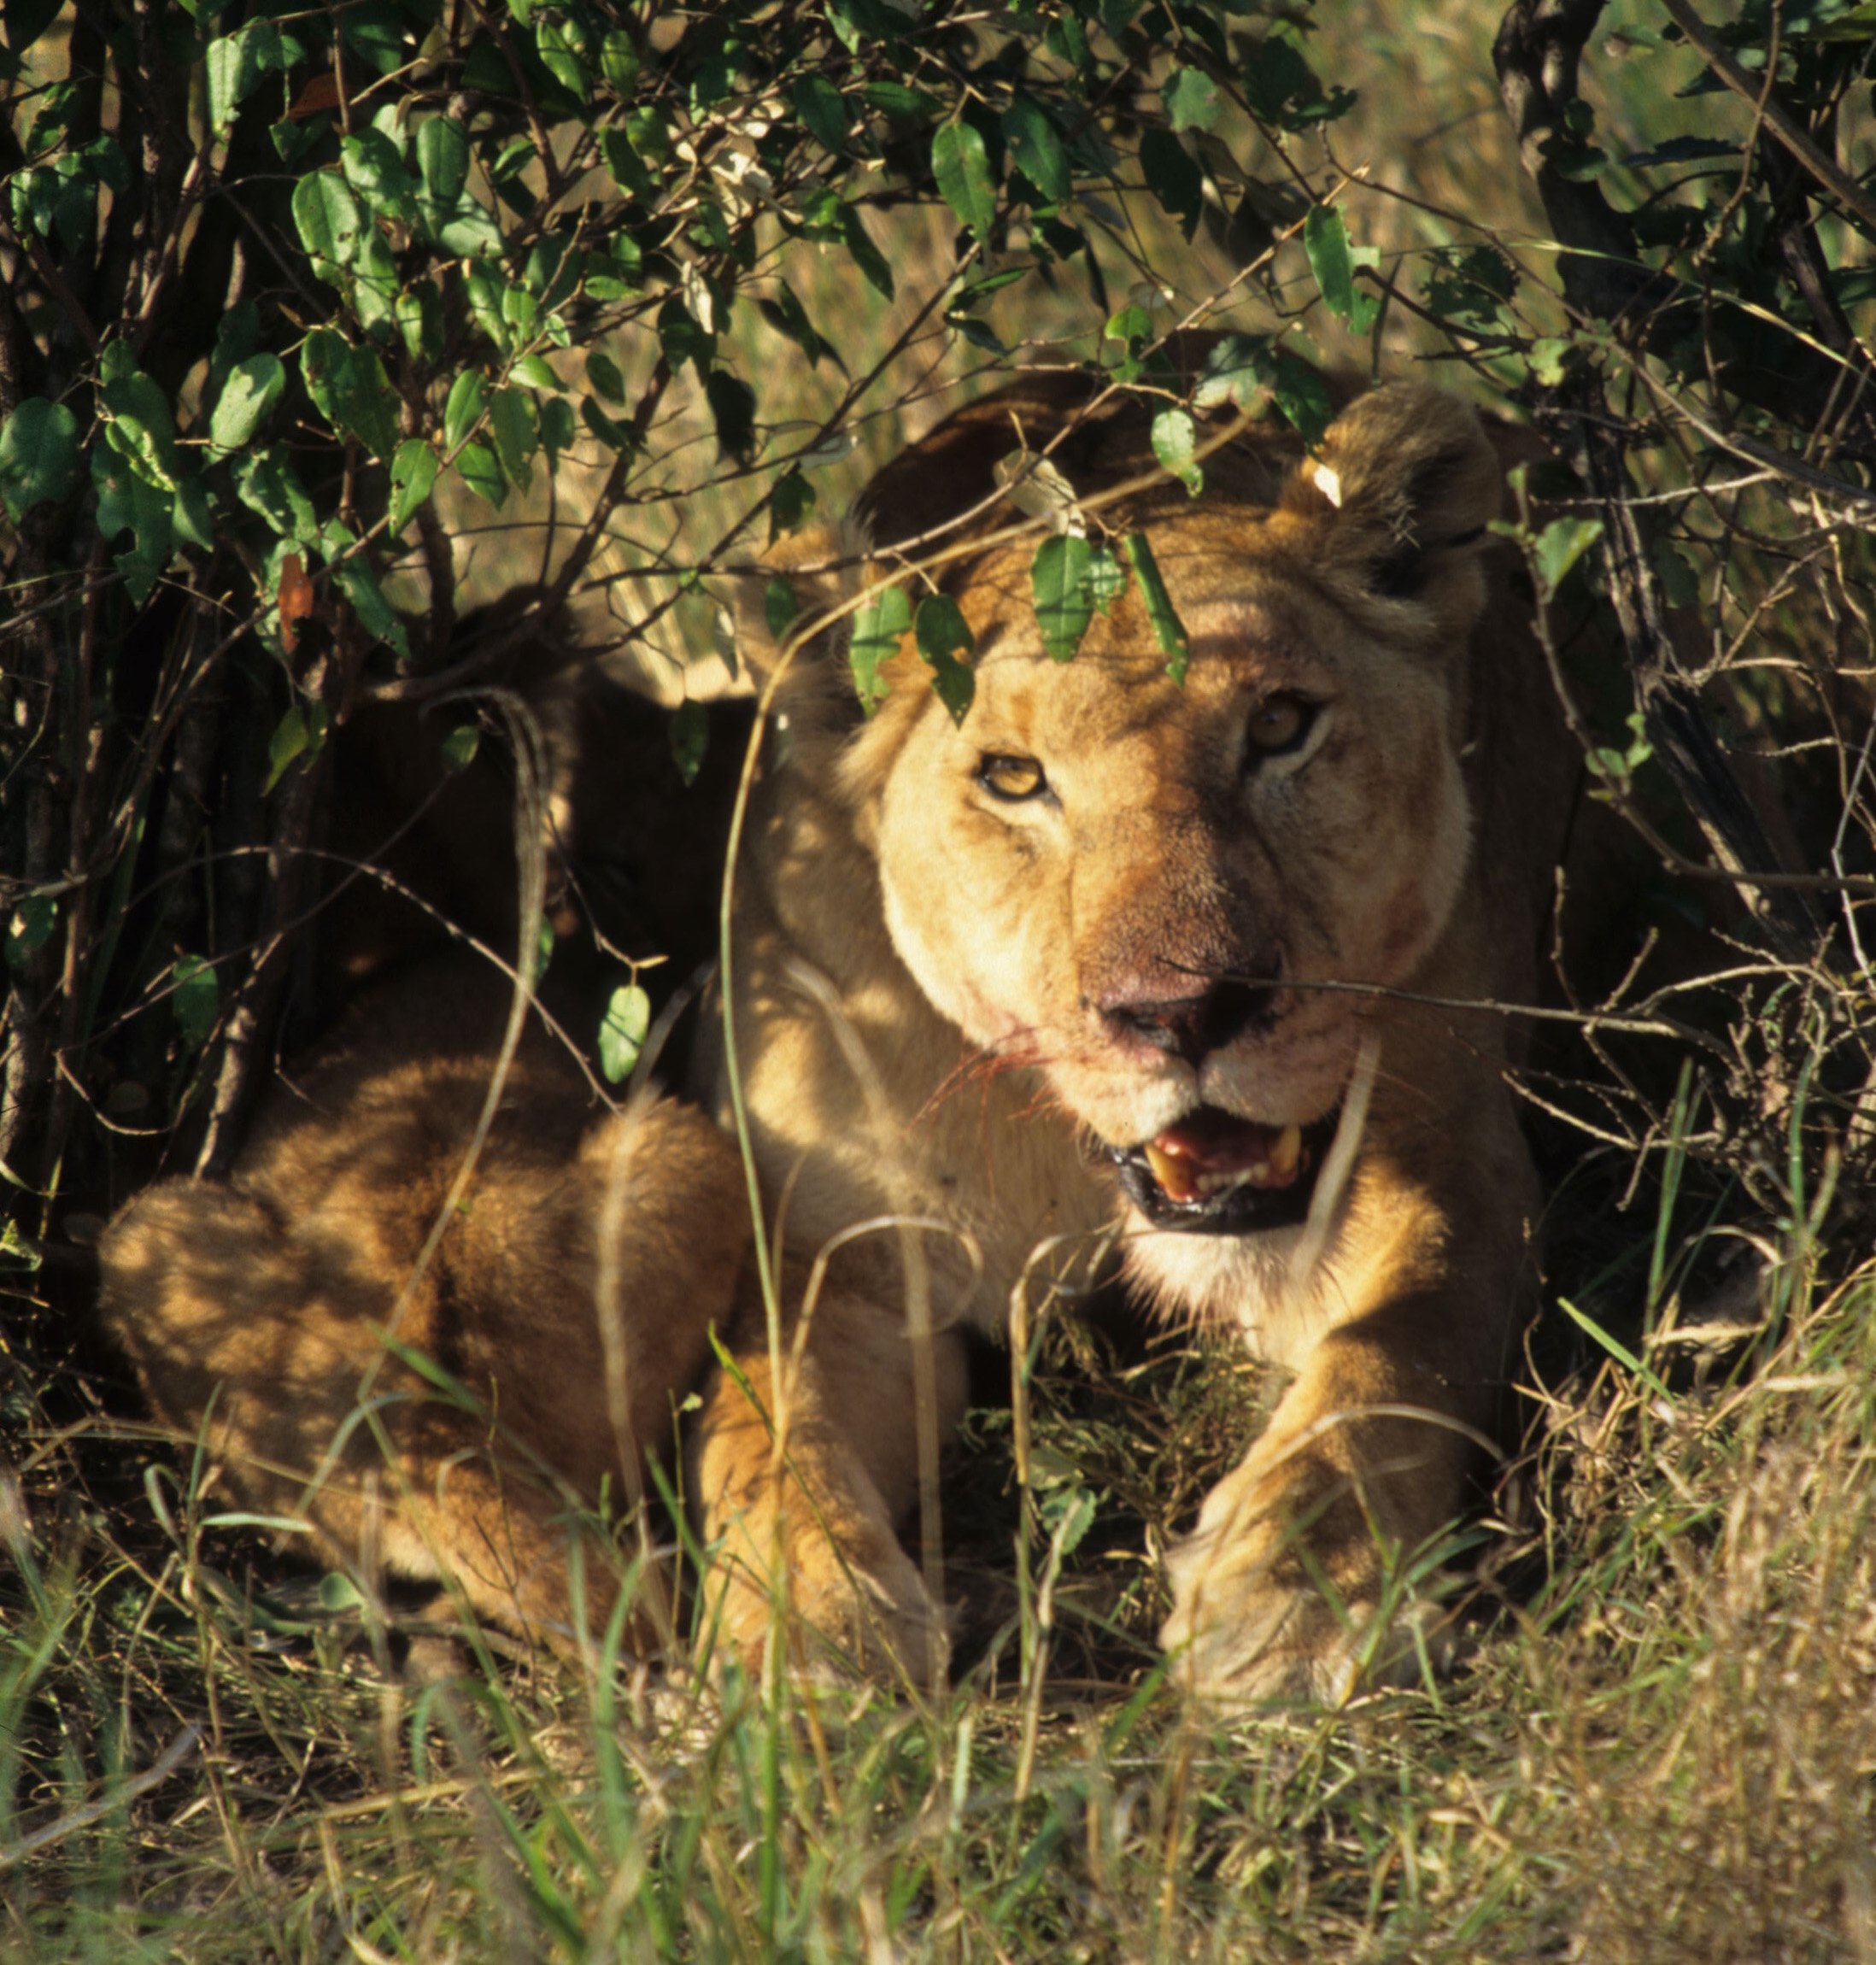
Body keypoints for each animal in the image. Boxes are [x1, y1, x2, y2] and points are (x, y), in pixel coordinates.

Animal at [685, 369, 1580, 1700]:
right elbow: (765, 1428)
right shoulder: (842, 1250)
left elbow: (1399, 1351)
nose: (1182, 1013)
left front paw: (1290, 1592)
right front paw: (799, 1643)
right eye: (1012, 777)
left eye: (1280, 724)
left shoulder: (1452, 1155)